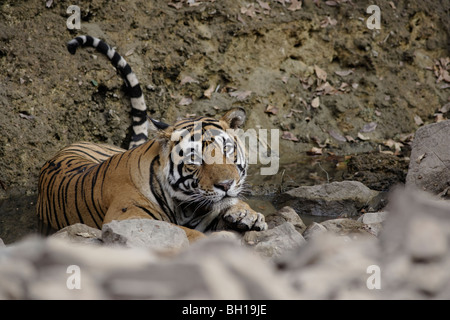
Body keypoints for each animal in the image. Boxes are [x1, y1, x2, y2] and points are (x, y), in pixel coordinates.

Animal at [37, 35, 268, 240]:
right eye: (194, 159)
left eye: (227, 149)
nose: (226, 185)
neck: (186, 208)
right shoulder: (127, 217)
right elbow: (184, 232)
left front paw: (247, 214)